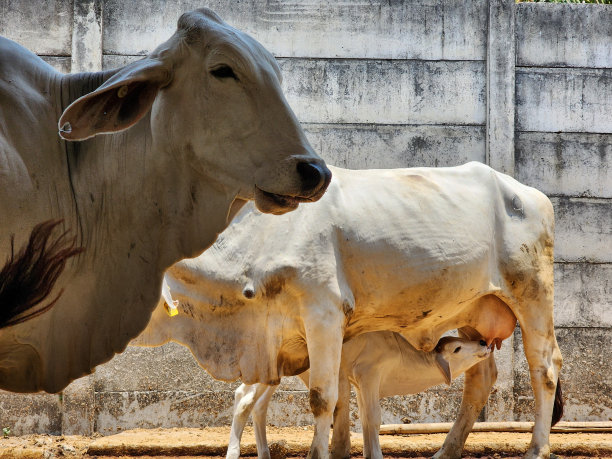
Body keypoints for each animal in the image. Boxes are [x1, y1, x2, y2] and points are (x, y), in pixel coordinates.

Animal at [225, 332, 492, 459]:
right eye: (457, 348)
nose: (482, 343)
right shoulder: (369, 375)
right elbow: (373, 419)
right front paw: (377, 455)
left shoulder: (359, 383)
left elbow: (364, 420)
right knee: (243, 400)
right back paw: (233, 452)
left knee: (258, 407)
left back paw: (264, 453)